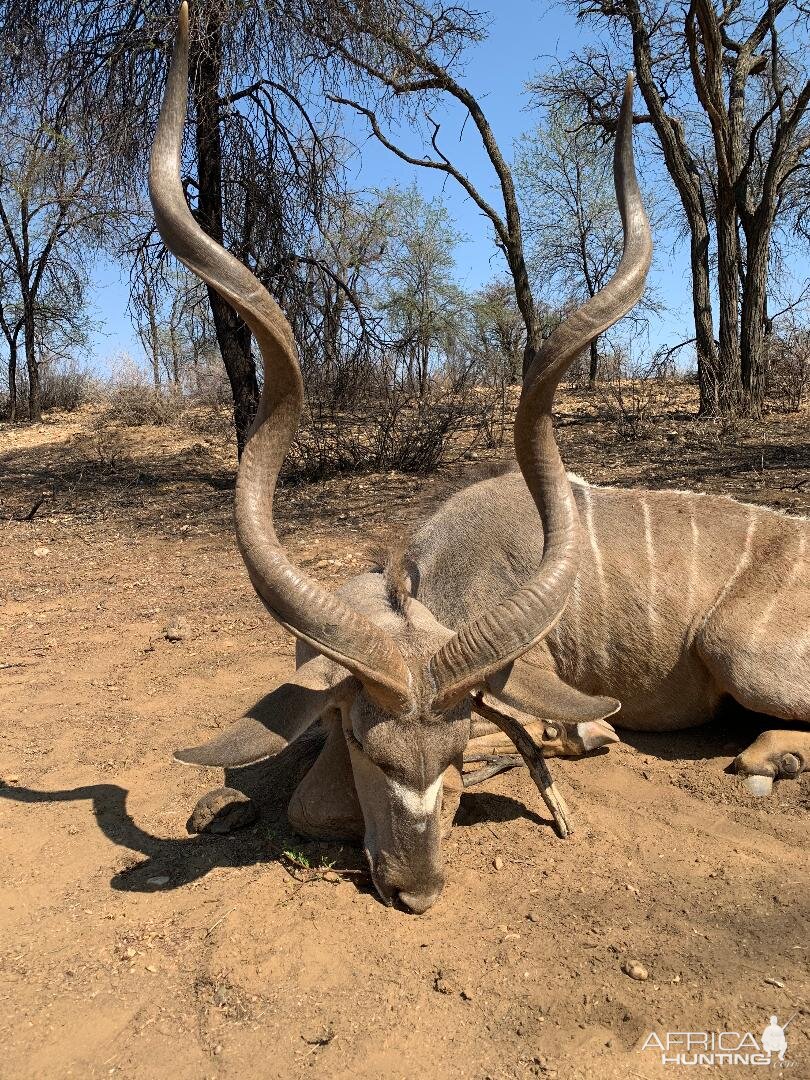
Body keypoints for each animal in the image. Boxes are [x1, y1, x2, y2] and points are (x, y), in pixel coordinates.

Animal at [151, 4, 807, 911]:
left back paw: (764, 758)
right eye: (371, 749)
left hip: (744, 654)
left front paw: (571, 748)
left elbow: (331, 800)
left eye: (455, 754)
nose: (417, 889)